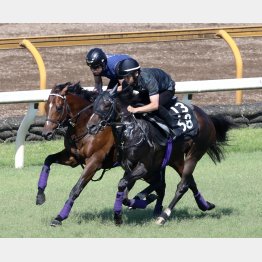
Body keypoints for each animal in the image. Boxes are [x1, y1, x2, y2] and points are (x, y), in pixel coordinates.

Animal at [36, 83, 160, 226]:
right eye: (46, 106)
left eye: (59, 107)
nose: (46, 133)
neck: (85, 127)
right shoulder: (73, 157)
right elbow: (48, 159)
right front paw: (40, 196)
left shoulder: (94, 162)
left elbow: (76, 189)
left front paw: (59, 217)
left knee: (158, 183)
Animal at [86, 86, 235, 225]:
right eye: (94, 104)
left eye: (106, 104)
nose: (91, 126)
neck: (131, 131)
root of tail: (207, 116)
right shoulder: (130, 168)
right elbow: (125, 195)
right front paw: (132, 207)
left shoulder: (144, 167)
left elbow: (124, 185)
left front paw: (127, 211)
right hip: (176, 159)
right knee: (189, 182)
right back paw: (205, 205)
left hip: (194, 154)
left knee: (182, 185)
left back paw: (163, 216)